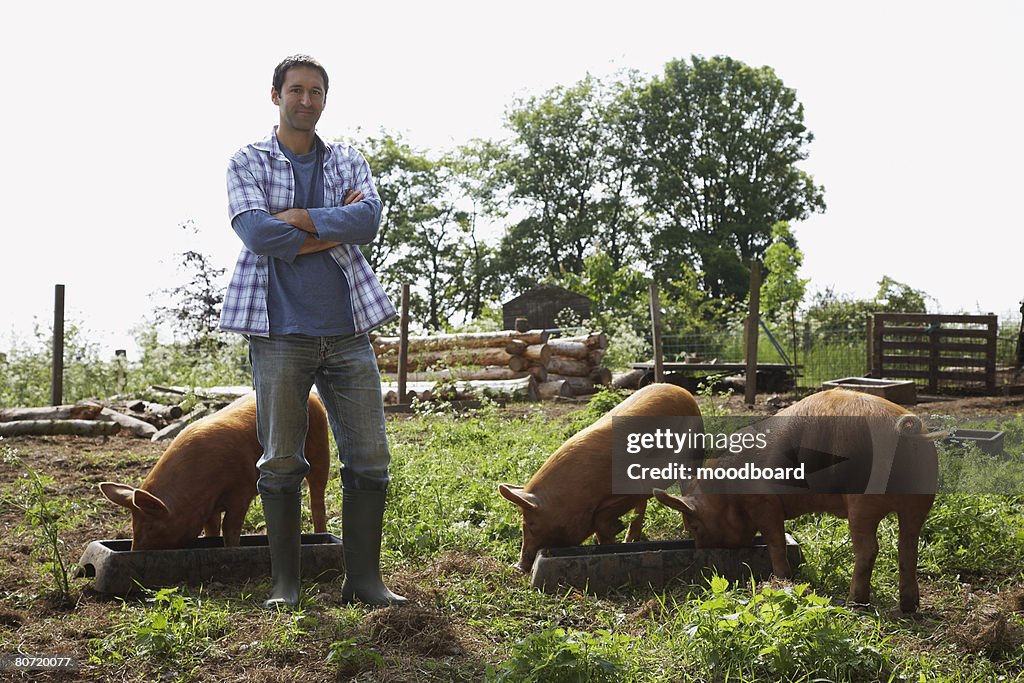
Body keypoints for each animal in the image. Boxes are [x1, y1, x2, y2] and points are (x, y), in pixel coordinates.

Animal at [97, 389, 325, 548]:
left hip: (320, 451)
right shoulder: (207, 507)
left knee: (317, 498)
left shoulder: (241, 490)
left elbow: (230, 526)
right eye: (133, 526)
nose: (136, 551)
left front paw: (232, 548)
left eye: (151, 527)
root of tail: (312, 397)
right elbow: (212, 529)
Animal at [497, 382, 704, 573]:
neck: (576, 496)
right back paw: (631, 540)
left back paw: (685, 530)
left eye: (530, 524)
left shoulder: (629, 491)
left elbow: (601, 521)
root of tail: (680, 389)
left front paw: (616, 533)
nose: (518, 567)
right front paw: (613, 542)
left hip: (694, 454)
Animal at [655, 389, 937, 614]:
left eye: (694, 526)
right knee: (908, 546)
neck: (726, 492)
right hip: (921, 497)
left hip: (863, 499)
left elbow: (776, 541)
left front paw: (781, 579)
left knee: (869, 548)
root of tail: (906, 430)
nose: (701, 554)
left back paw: (854, 603)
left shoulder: (764, 502)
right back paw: (908, 607)